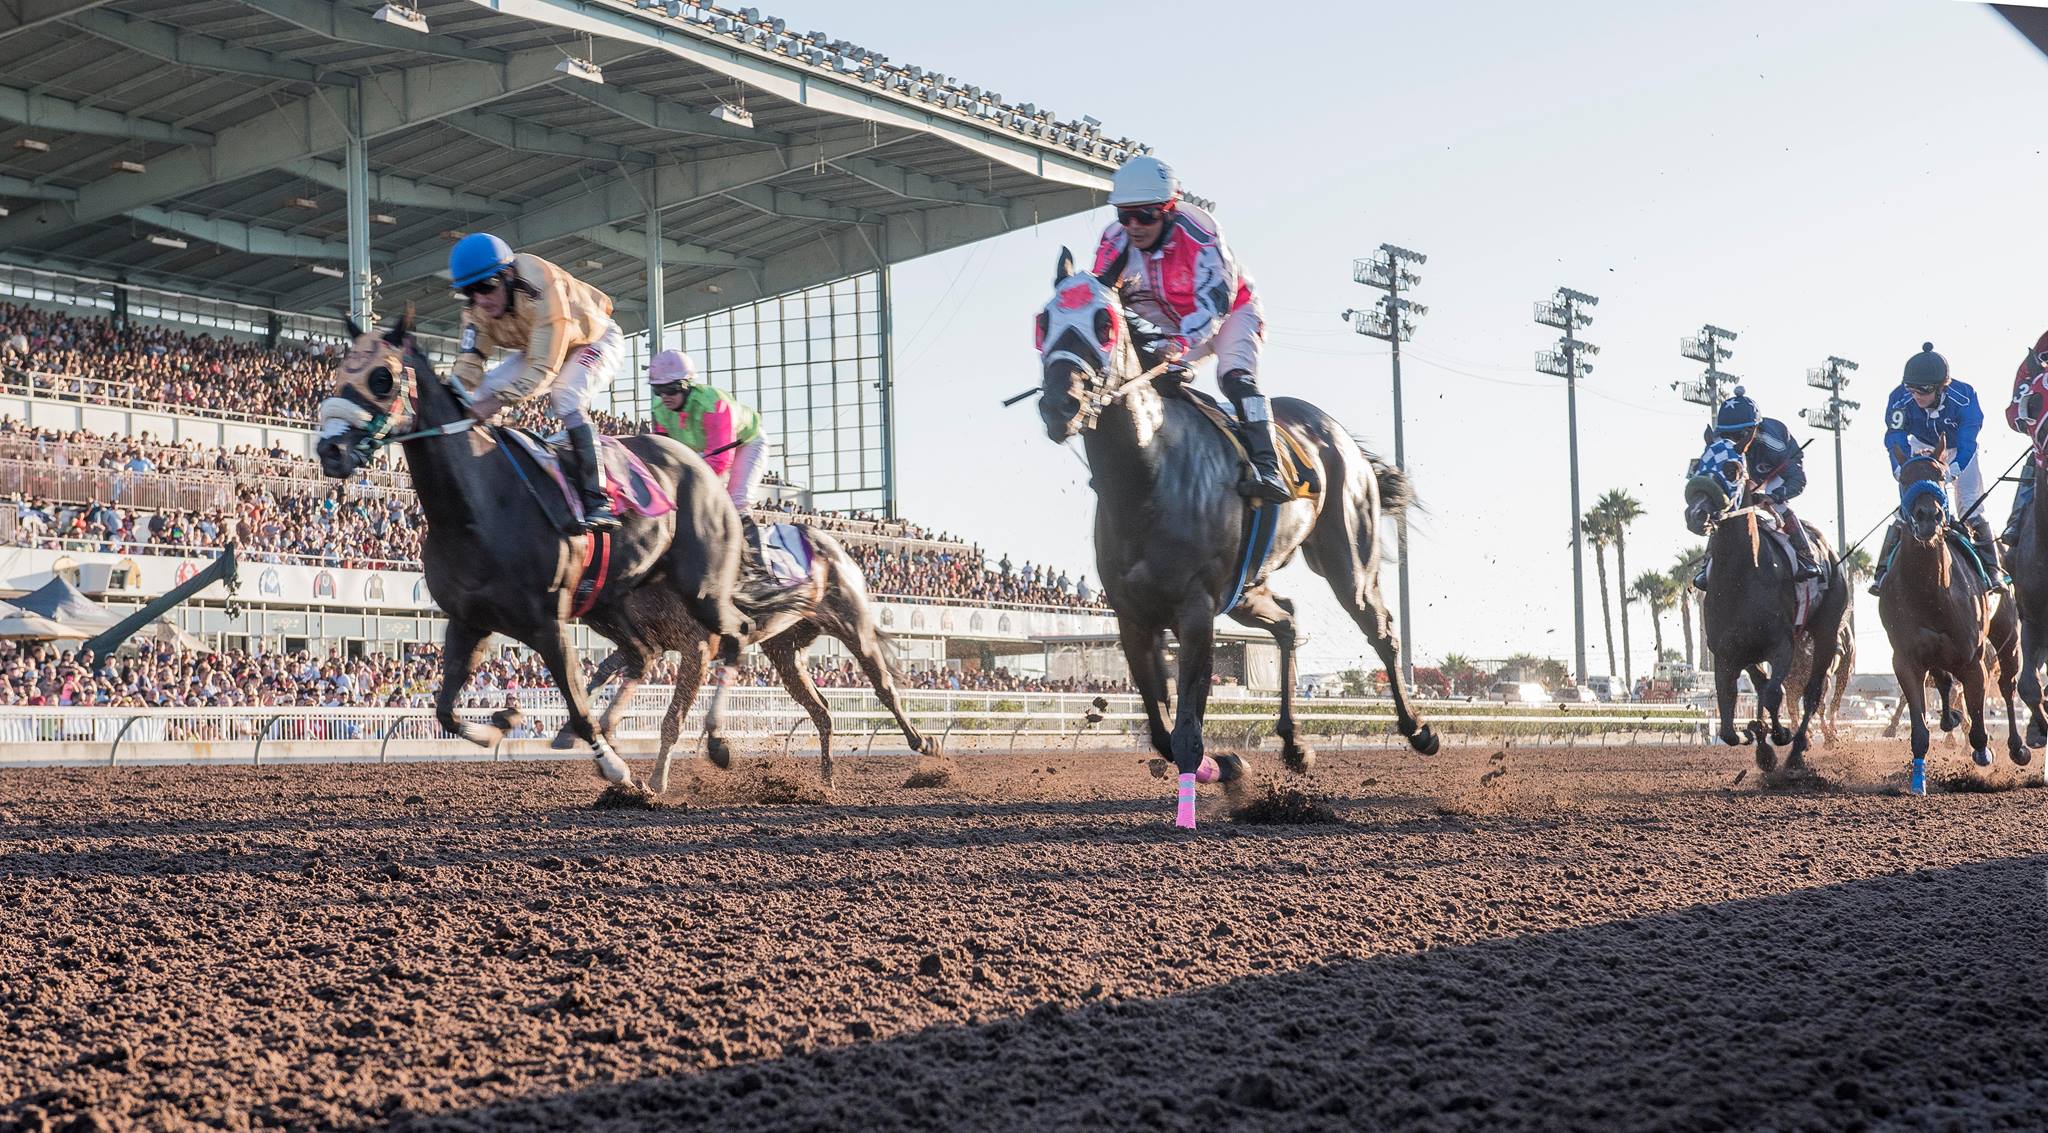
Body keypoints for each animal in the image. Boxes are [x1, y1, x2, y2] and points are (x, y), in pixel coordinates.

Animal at [548, 524, 937, 790]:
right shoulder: (647, 642)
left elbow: (672, 718)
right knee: (821, 709)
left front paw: (656, 783)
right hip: (783, 648)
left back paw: (923, 742)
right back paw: (826, 781)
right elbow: (605, 669)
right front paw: (580, 733)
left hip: (852, 623)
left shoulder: (695, 645)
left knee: (884, 687)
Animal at [1032, 252, 1433, 827]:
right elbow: (1163, 733)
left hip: (1346, 562)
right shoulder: (1134, 619)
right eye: (1044, 322)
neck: (1148, 471)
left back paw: (1419, 729)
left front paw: (1202, 794)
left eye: (1104, 323)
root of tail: (1338, 436)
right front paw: (1230, 765)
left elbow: (1184, 734)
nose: (1059, 405)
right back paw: (1294, 743)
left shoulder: (1196, 612)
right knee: (1288, 621)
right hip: (1246, 590)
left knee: (1381, 629)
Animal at [1679, 469, 1859, 770]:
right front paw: (1754, 734)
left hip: (1827, 634)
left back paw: (1800, 747)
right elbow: (1731, 711)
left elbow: (1775, 694)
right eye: (1696, 468)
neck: (1741, 579)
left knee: (1814, 695)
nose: (1696, 513)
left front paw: (1779, 736)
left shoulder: (1782, 646)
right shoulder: (1728, 652)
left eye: (1731, 470)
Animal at [1875, 450, 2023, 786]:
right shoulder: (1906, 659)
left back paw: (2018, 747)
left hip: (2008, 638)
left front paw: (1983, 752)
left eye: (1941, 476)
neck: (1930, 591)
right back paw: (1948, 718)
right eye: (1905, 479)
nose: (1927, 516)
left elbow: (1979, 726)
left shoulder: (1973, 659)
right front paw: (1917, 780)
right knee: (1944, 682)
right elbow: (1919, 728)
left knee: (2008, 687)